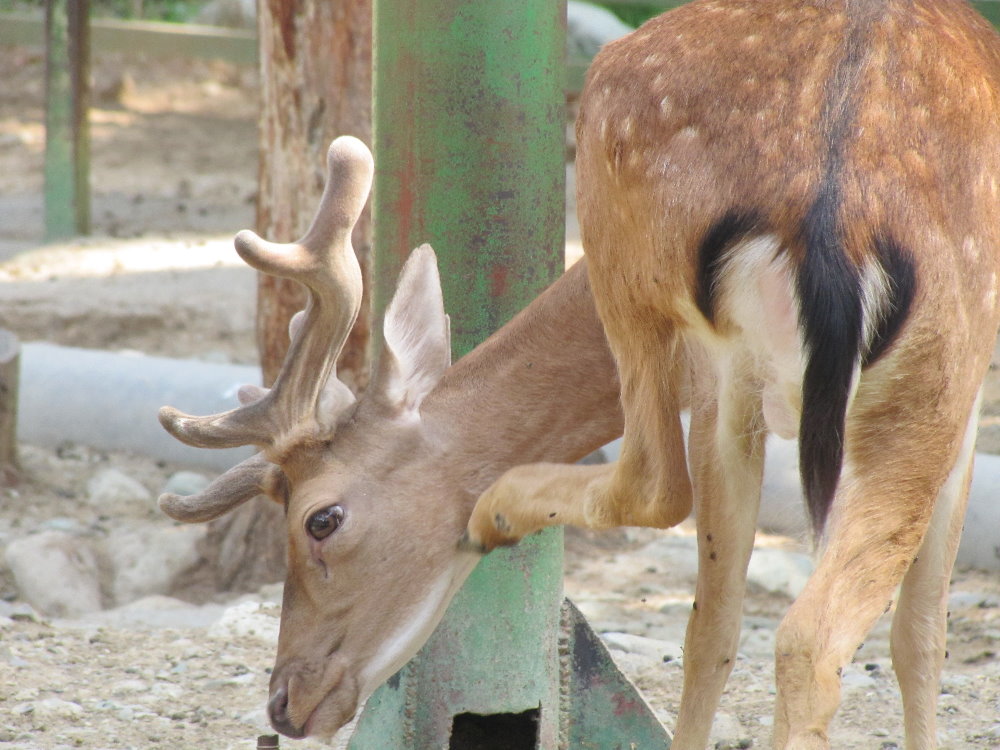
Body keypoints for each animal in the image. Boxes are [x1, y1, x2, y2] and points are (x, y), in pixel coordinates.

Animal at [156, 1, 1000, 748]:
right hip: (918, 373)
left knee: (673, 502)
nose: (284, 700)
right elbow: (911, 635)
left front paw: (490, 508)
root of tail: (834, 215)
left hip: (650, 255)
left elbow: (752, 629)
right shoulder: (957, 402)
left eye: (321, 518)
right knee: (801, 627)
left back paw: (497, 504)